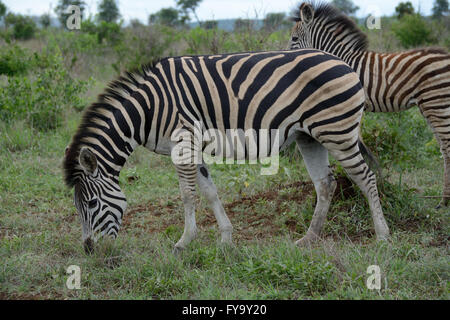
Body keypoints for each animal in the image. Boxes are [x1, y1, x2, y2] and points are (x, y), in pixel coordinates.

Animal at [63, 48, 390, 252]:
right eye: (77, 207)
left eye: (91, 204)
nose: (89, 250)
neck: (149, 110)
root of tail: (345, 64)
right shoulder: (192, 149)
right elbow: (209, 192)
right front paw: (226, 239)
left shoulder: (183, 143)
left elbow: (187, 195)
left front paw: (184, 242)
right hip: (309, 136)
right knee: (325, 184)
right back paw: (309, 239)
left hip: (337, 130)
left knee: (366, 178)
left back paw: (383, 237)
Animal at [288, 1, 450, 208]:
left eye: (294, 38)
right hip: (430, 105)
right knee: (443, 146)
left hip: (435, 102)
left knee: (446, 146)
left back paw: (445, 200)